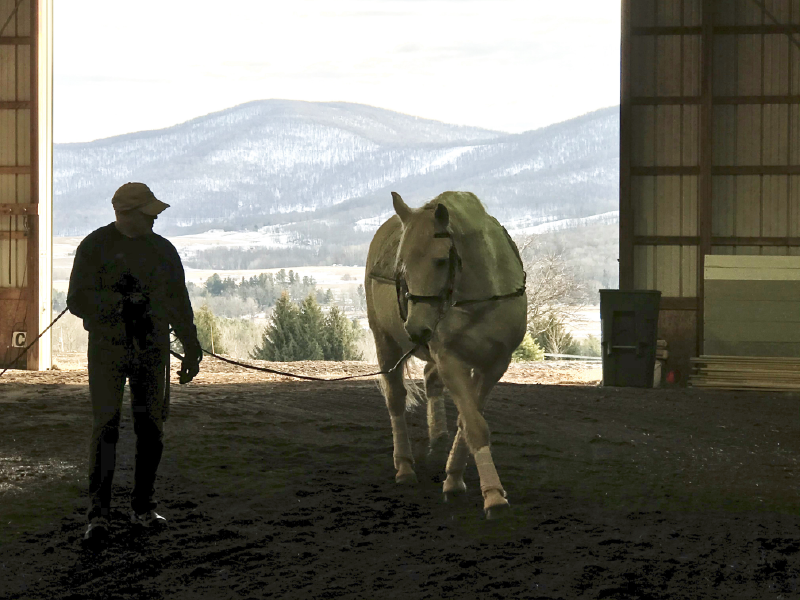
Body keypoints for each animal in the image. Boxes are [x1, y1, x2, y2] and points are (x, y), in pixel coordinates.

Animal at [365, 191, 527, 519]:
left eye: (440, 261)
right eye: (402, 265)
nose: (416, 328)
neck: (479, 299)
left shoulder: (495, 364)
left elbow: (468, 420)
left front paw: (453, 478)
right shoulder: (451, 360)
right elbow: (474, 424)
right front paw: (493, 496)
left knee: (430, 379)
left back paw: (438, 437)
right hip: (384, 340)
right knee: (396, 398)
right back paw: (404, 466)